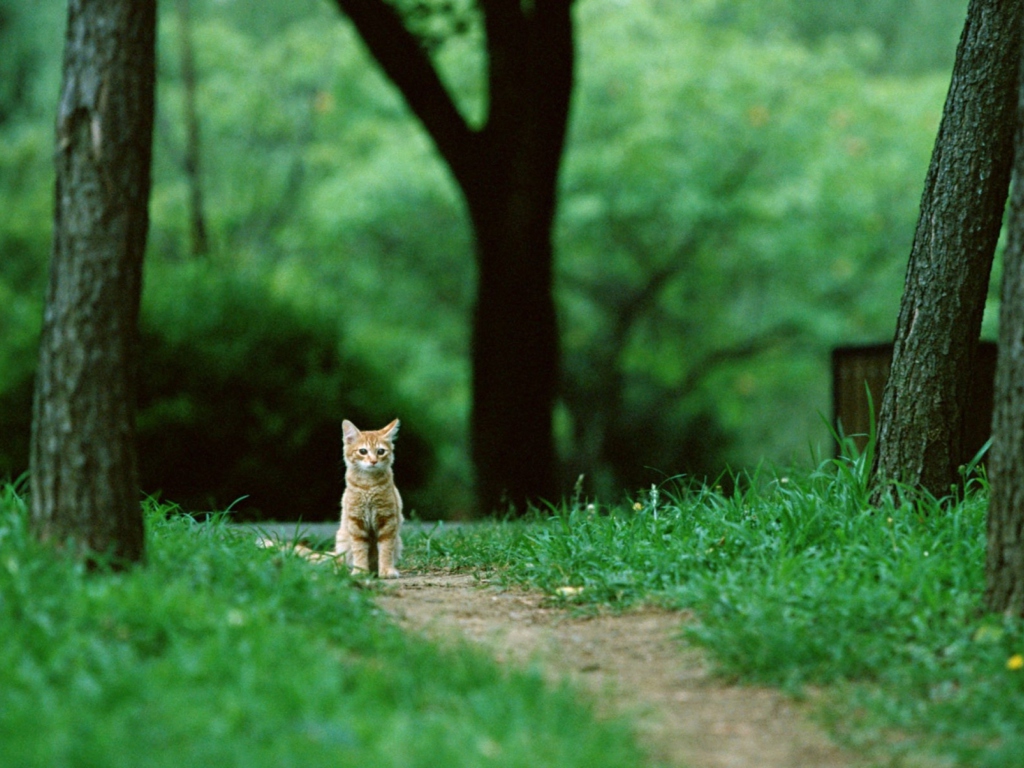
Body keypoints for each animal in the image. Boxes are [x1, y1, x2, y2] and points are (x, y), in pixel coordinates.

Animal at [331, 421, 403, 577]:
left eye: (380, 451)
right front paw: (360, 571)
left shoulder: (387, 520)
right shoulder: (356, 522)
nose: (373, 461)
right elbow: (359, 550)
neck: (368, 486)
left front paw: (386, 570)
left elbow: (386, 549)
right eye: (363, 451)